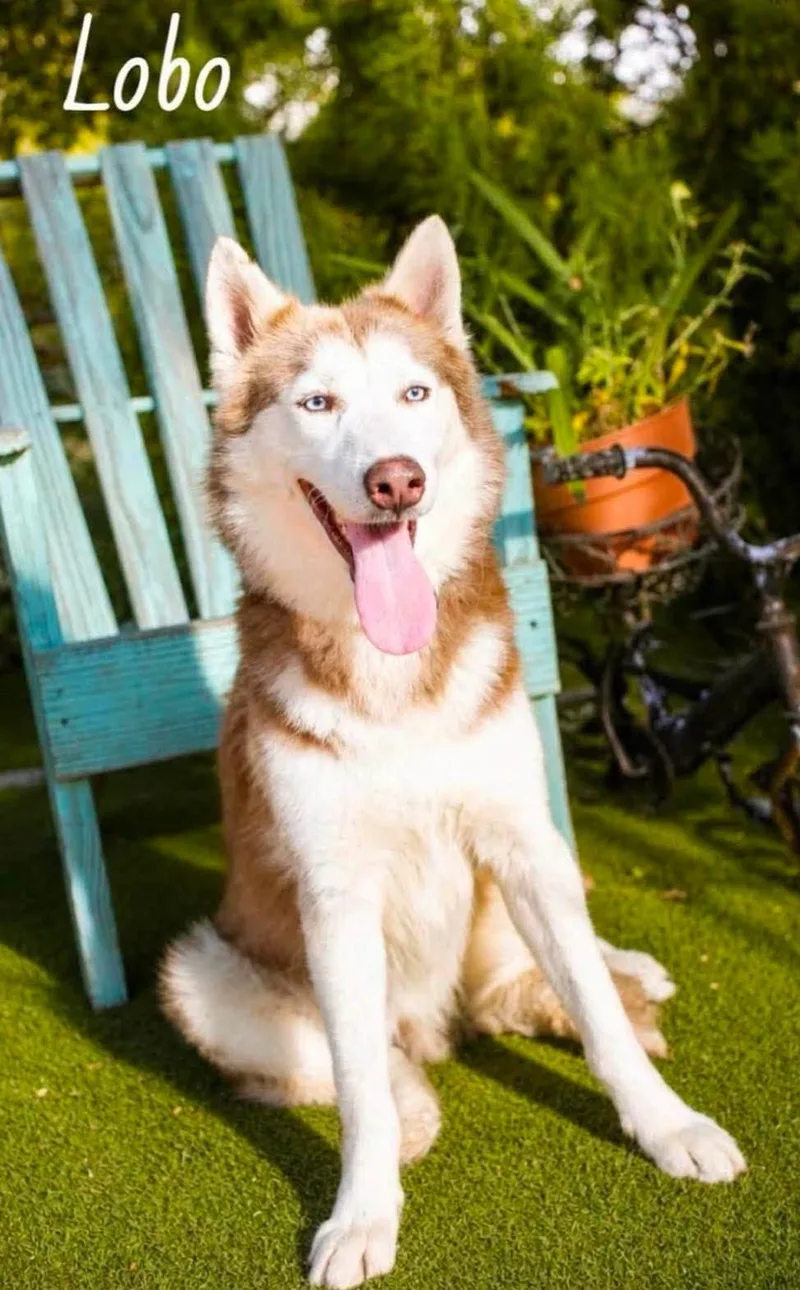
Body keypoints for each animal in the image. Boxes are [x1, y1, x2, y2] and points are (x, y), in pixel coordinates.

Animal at [160, 216, 745, 1289]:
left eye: (414, 394)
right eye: (317, 402)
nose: (397, 478)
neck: (393, 677)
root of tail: (447, 1014)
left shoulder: (519, 839)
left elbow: (598, 1018)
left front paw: (666, 1124)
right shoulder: (336, 896)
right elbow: (356, 1082)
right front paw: (363, 1211)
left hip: (530, 871)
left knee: (548, 979)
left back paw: (623, 970)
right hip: (202, 970)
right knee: (373, 1061)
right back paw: (416, 1102)